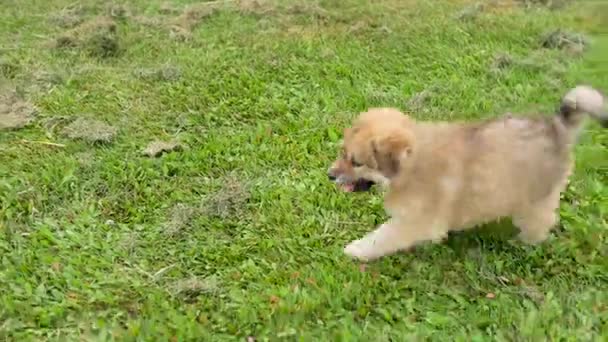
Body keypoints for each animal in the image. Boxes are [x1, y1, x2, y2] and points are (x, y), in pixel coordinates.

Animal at [330, 85, 604, 262]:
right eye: (342, 152)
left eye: (356, 162)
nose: (329, 175)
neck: (409, 164)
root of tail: (557, 127)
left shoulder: (414, 222)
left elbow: (382, 237)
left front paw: (356, 250)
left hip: (535, 199)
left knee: (540, 222)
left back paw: (524, 243)